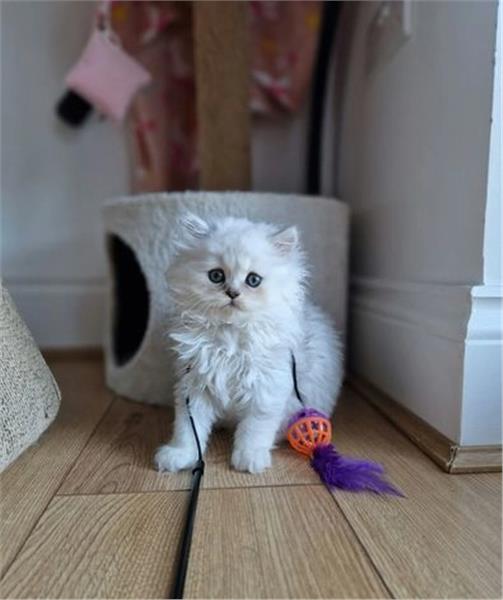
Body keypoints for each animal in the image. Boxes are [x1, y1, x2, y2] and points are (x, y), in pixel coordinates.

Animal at [155, 214, 342, 474]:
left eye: (253, 280)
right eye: (216, 276)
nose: (232, 293)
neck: (230, 337)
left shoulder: (267, 389)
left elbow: (254, 430)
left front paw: (249, 458)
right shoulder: (193, 386)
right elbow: (188, 431)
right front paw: (180, 455)